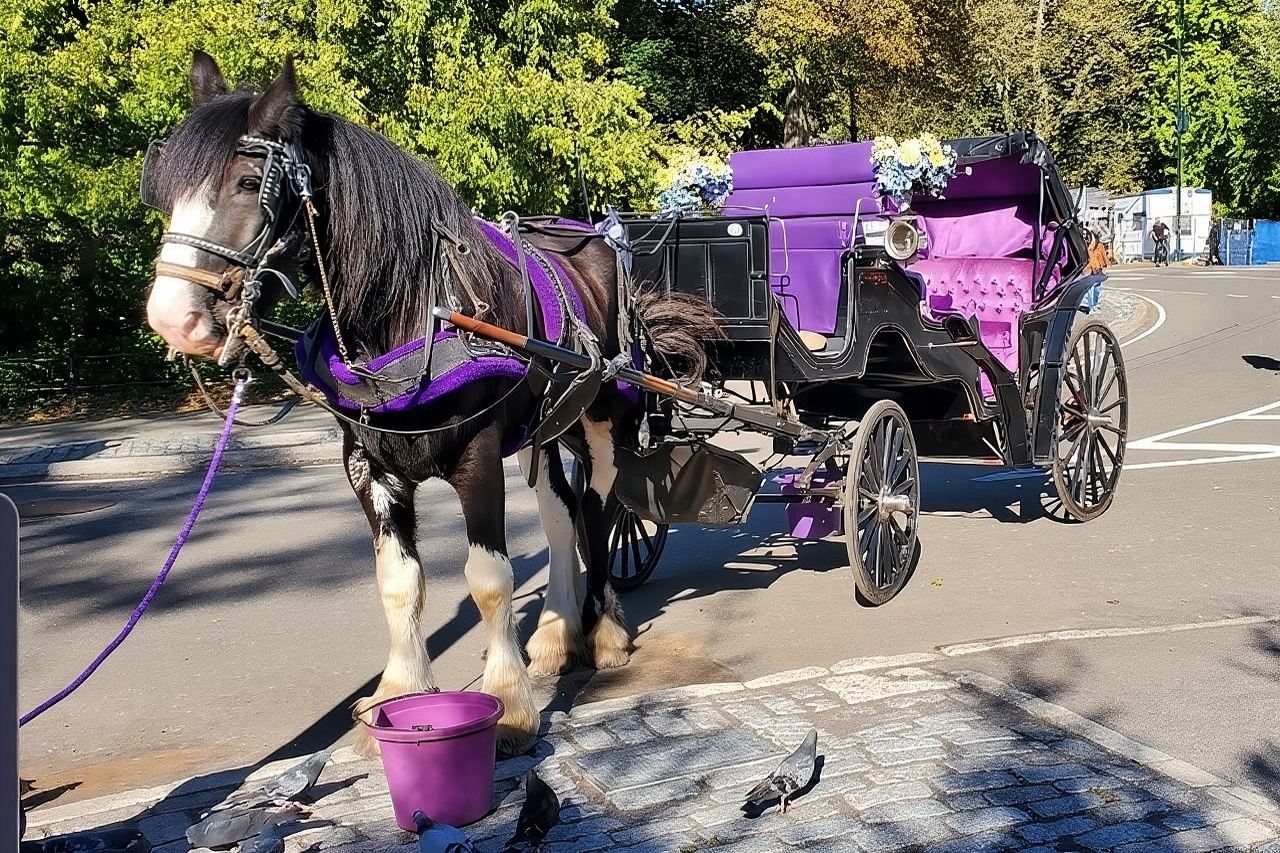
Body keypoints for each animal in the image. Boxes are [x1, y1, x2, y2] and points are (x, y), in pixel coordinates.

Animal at [143, 51, 719, 755]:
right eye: (162, 190)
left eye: (251, 182)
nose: (172, 318)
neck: (417, 312)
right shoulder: (369, 468)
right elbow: (399, 584)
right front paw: (399, 693)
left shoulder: (478, 458)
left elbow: (489, 580)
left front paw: (510, 703)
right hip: (546, 428)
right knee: (561, 516)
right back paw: (556, 633)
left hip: (608, 416)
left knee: (600, 510)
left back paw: (604, 631)